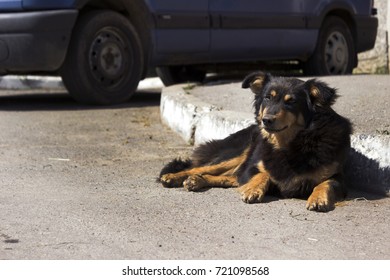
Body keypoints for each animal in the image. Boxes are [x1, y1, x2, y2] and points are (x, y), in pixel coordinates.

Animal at [160, 72, 352, 212]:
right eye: (267, 97)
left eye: (291, 102)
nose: (266, 120)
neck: (288, 146)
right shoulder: (253, 166)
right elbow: (263, 174)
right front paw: (253, 189)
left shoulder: (338, 176)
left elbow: (326, 183)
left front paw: (318, 198)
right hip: (238, 154)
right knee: (200, 168)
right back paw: (173, 177)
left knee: (228, 178)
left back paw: (197, 181)